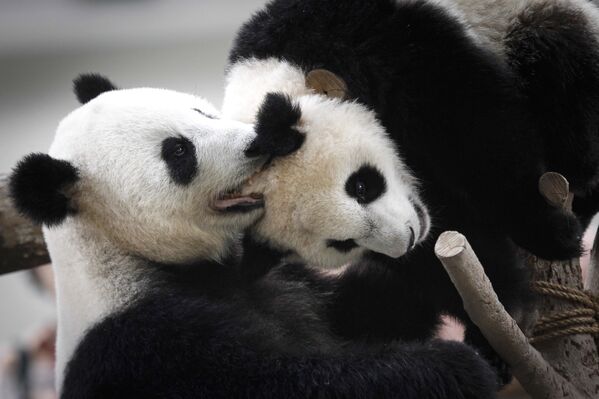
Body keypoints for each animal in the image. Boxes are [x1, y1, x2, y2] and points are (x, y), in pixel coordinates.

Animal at [10, 76, 496, 399]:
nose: (256, 143)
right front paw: (455, 368)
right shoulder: (145, 348)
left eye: (201, 112)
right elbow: (283, 381)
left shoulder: (278, 283)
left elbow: (361, 313)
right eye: (178, 151)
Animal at [221, 0, 599, 384]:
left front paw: (549, 234)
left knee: (555, 59)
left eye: (361, 186)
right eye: (343, 243)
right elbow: (442, 248)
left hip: (534, 23)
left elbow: (475, 127)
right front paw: (501, 317)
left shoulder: (388, 43)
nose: (408, 236)